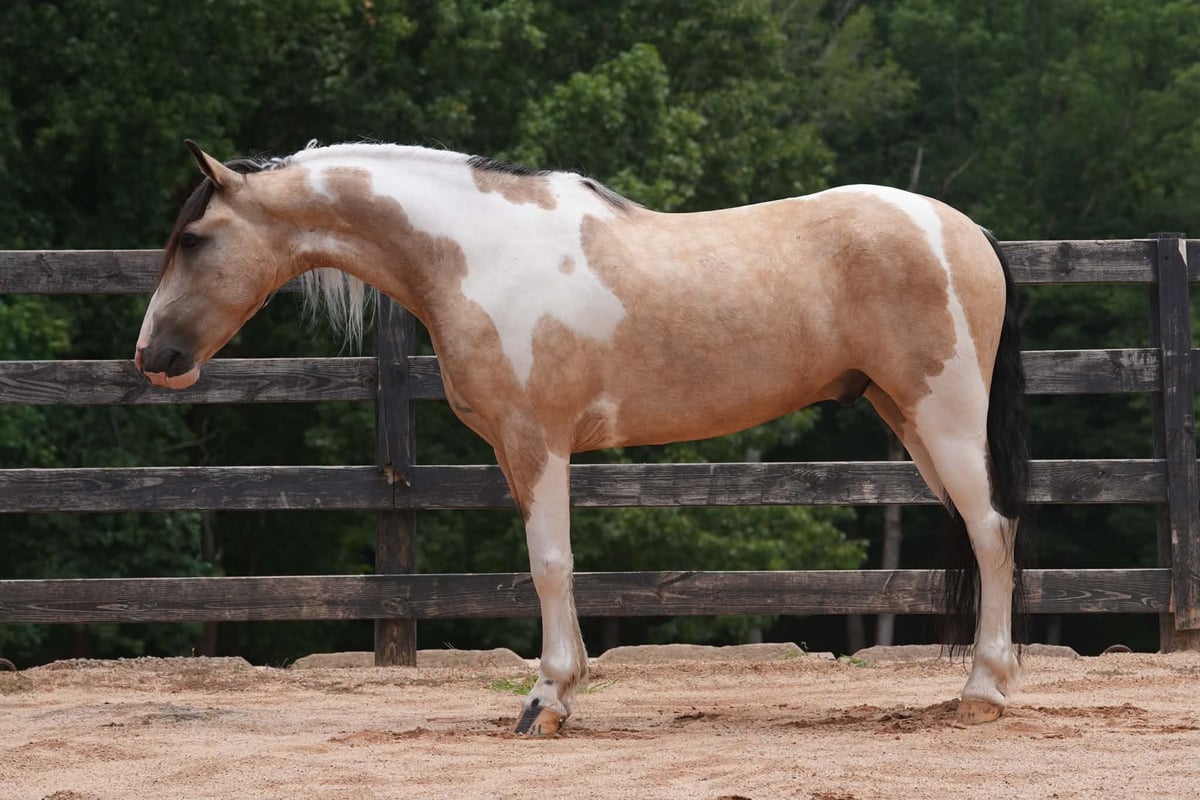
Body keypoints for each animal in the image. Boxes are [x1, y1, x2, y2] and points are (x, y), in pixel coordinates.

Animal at [135, 140, 1030, 736]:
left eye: (195, 240)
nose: (154, 358)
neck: (477, 253)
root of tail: (966, 233)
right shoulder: (518, 448)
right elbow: (555, 567)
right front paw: (564, 692)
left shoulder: (537, 441)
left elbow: (549, 564)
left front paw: (545, 701)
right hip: (907, 419)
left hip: (944, 416)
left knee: (992, 532)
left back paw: (984, 692)